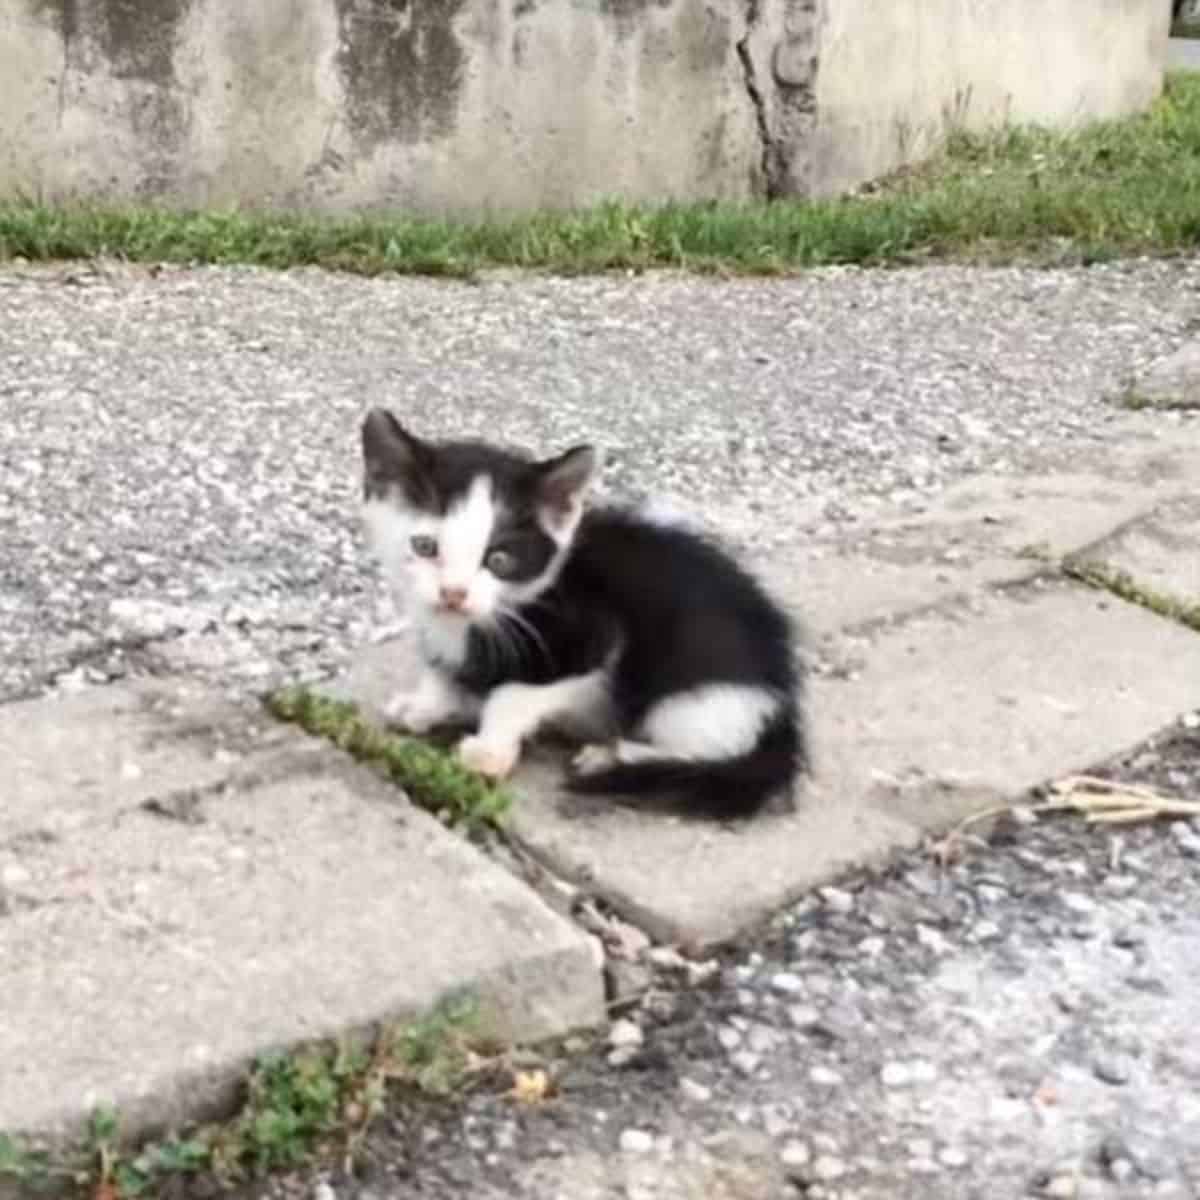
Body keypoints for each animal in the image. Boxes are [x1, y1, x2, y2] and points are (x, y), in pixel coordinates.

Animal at [357, 410, 806, 816]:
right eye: (425, 547)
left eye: (500, 560)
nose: (453, 593)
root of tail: (782, 710)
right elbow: (444, 671)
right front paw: (426, 703)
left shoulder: (595, 637)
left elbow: (513, 694)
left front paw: (488, 748)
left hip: (693, 692)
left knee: (710, 750)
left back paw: (613, 756)